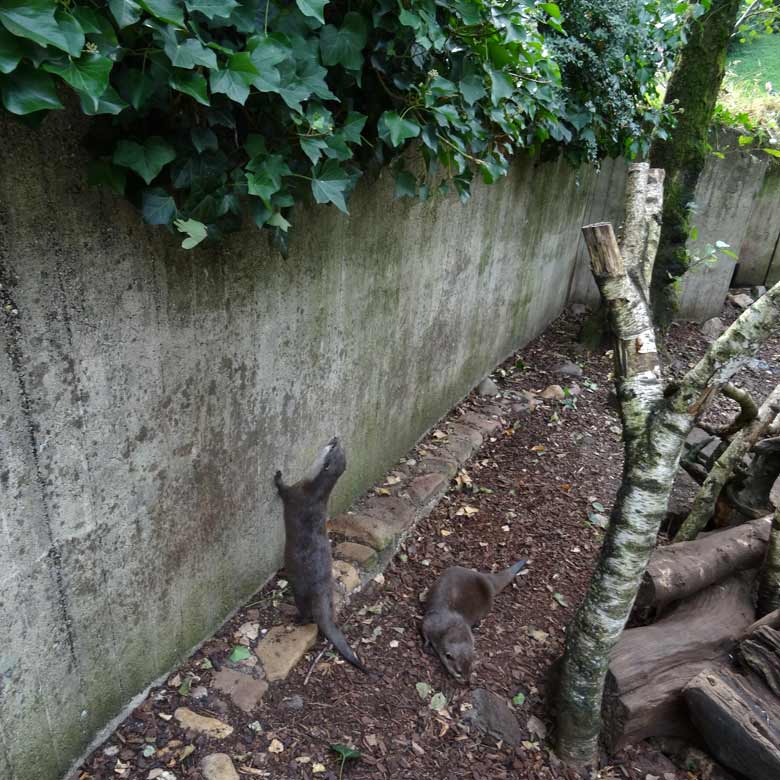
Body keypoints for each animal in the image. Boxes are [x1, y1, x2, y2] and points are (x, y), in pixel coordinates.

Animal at [272, 436, 368, 672]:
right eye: (337, 446)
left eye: (331, 448)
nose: (336, 437)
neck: (313, 491)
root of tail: (321, 589)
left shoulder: (294, 493)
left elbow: (283, 489)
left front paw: (278, 477)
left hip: (300, 589)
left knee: (307, 614)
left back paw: (296, 619)